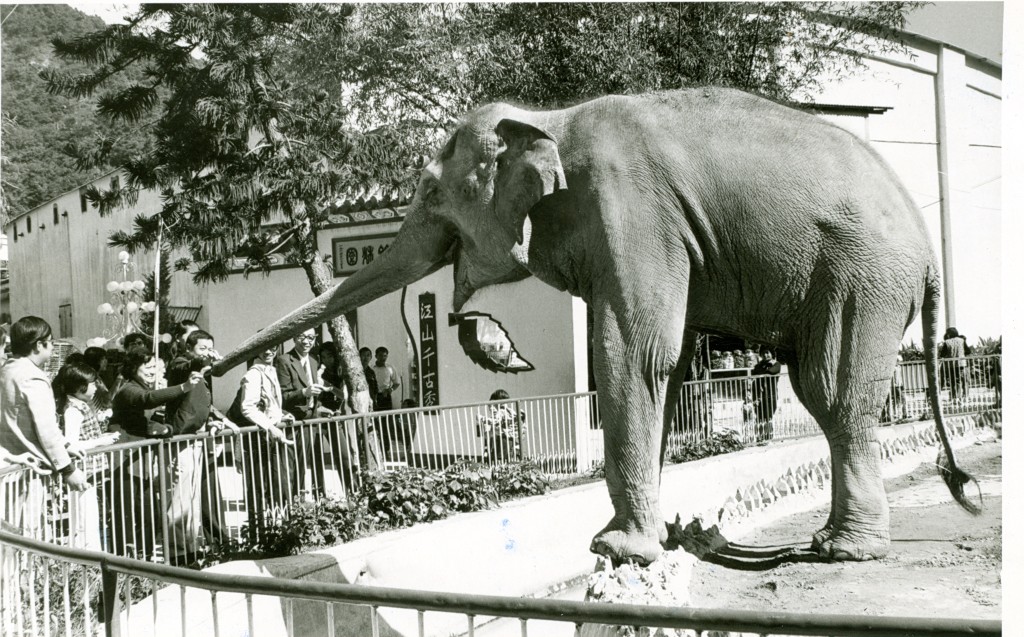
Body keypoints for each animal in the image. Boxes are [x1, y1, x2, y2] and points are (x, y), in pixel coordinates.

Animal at [214, 87, 974, 565]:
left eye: (430, 191)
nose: (205, 368)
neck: (548, 117)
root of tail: (928, 247)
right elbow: (667, 358)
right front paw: (651, 539)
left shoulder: (632, 209)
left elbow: (634, 352)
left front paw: (617, 549)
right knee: (826, 392)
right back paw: (830, 543)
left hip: (862, 275)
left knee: (831, 391)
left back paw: (844, 549)